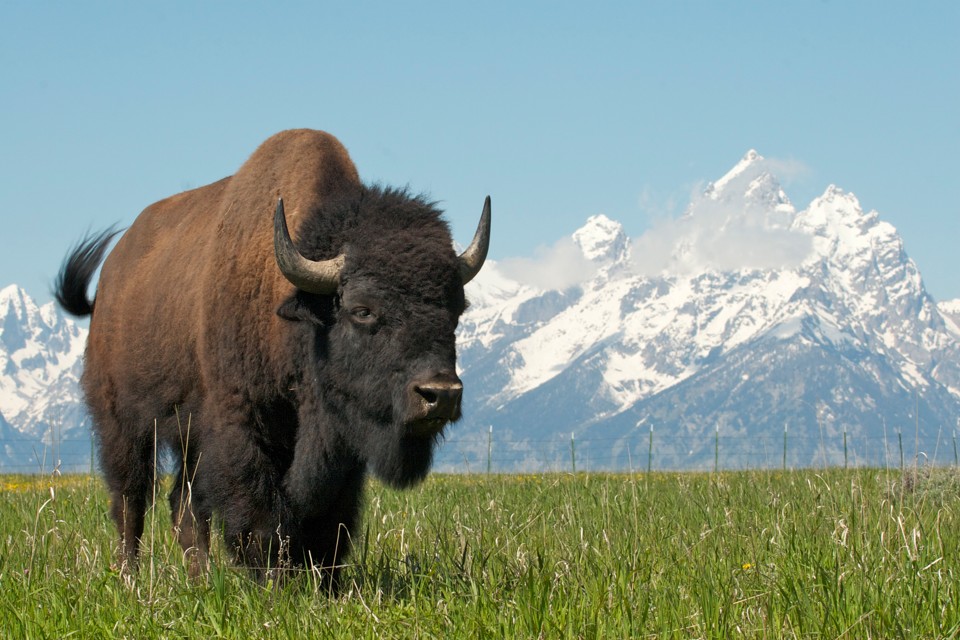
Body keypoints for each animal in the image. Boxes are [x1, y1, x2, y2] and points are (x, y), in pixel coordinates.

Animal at [54, 130, 488, 584]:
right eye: (362, 310)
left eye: (456, 309)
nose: (440, 394)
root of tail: (110, 278)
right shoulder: (241, 425)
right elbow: (259, 511)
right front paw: (274, 581)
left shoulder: (339, 448)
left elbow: (329, 521)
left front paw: (323, 583)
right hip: (122, 423)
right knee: (131, 500)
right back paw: (131, 579)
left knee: (183, 508)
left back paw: (200, 580)